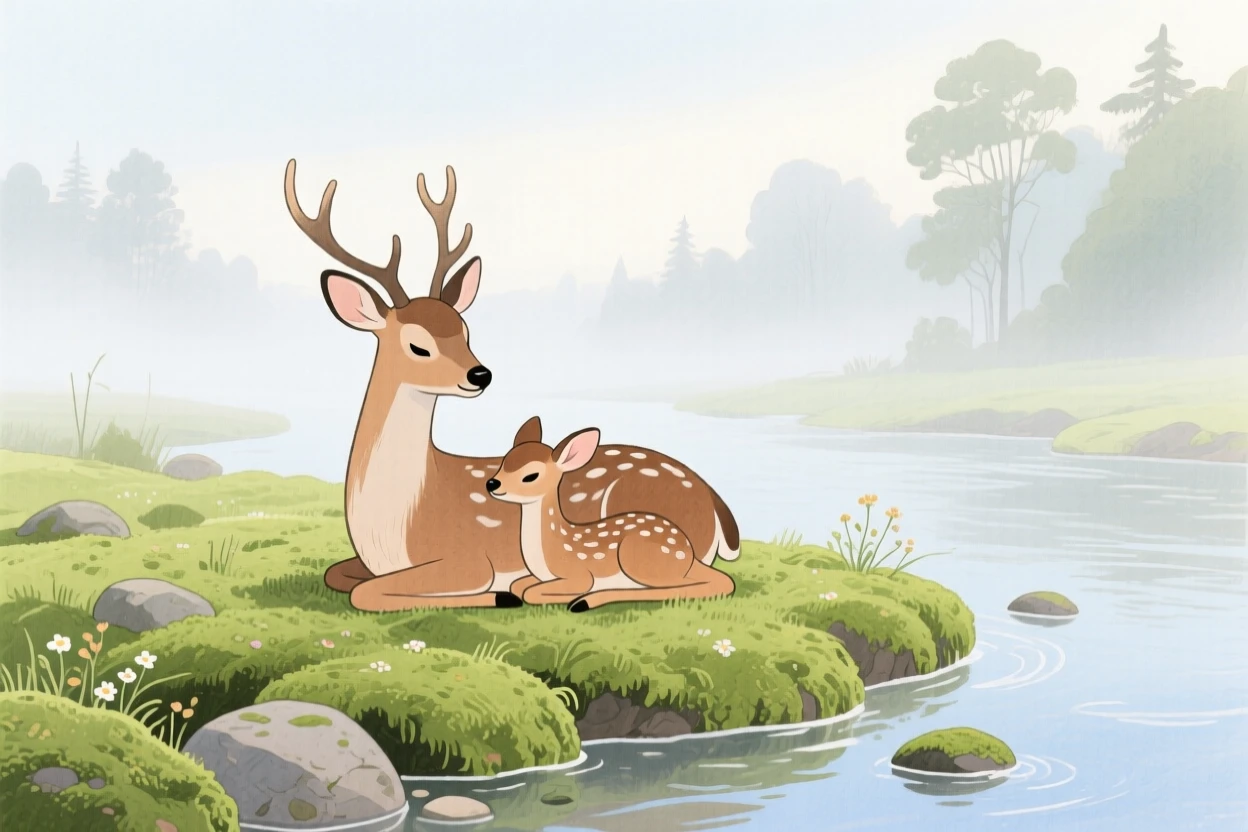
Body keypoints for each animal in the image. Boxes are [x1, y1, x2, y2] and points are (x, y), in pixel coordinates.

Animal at [486, 421, 736, 611]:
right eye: (504, 461)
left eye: (531, 475)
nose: (492, 483)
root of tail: (688, 553)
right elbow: (518, 586)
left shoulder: (579, 574)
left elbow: (530, 592)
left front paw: (570, 597)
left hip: (636, 557)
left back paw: (584, 601)